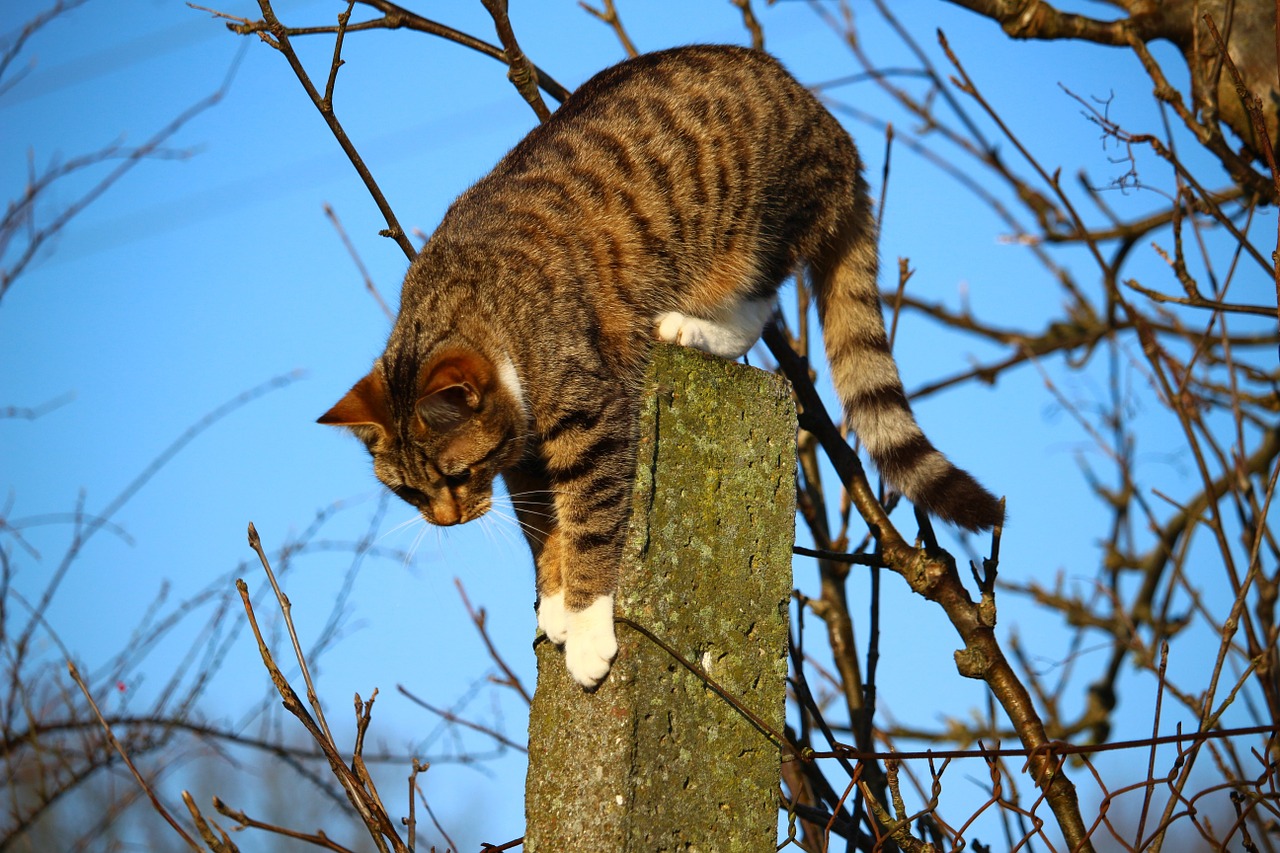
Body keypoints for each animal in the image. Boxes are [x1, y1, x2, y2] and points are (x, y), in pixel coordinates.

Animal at [317, 43, 998, 686]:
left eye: (456, 476)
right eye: (409, 492)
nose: (447, 520)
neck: (480, 308)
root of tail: (827, 122)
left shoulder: (590, 417)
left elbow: (589, 519)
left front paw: (586, 624)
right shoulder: (523, 463)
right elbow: (544, 528)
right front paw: (555, 598)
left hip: (755, 230)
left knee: (759, 304)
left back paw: (687, 326)